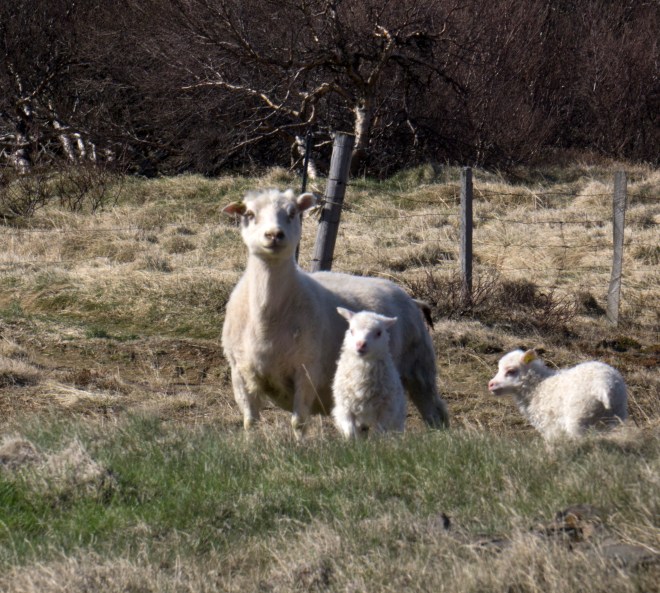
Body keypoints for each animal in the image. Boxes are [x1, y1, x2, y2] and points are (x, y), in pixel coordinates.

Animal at [332, 307, 406, 438]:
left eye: (379, 333)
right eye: (351, 330)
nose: (360, 344)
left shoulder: (386, 408)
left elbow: (379, 431)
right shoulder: (344, 407)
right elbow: (350, 431)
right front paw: (353, 441)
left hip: (397, 418)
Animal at [488, 349, 628, 440]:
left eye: (511, 371)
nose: (491, 384)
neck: (538, 386)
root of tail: (604, 385)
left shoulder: (550, 426)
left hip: (579, 418)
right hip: (614, 418)